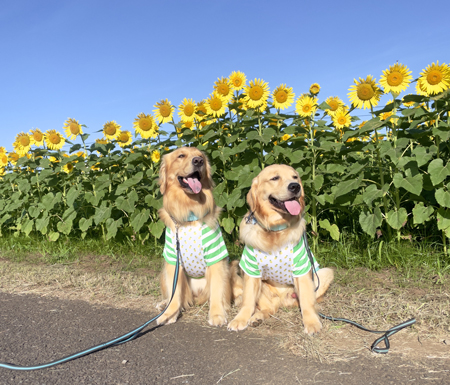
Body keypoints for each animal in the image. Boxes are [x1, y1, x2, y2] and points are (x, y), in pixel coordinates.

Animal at [156, 146, 232, 326]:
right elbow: (174, 294)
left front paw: (217, 314)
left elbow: (217, 290)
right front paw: (169, 313)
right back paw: (163, 304)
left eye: (200, 156)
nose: (198, 161)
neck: (189, 213)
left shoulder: (216, 257)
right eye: (181, 155)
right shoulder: (173, 259)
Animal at [229, 164, 334, 332]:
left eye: (295, 177)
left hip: (324, 273)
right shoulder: (251, 270)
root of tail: (282, 300)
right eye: (275, 178)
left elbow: (307, 301)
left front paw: (311, 322)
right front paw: (240, 319)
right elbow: (248, 301)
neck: (275, 229)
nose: (295, 186)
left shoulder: (302, 269)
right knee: (269, 308)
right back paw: (257, 317)